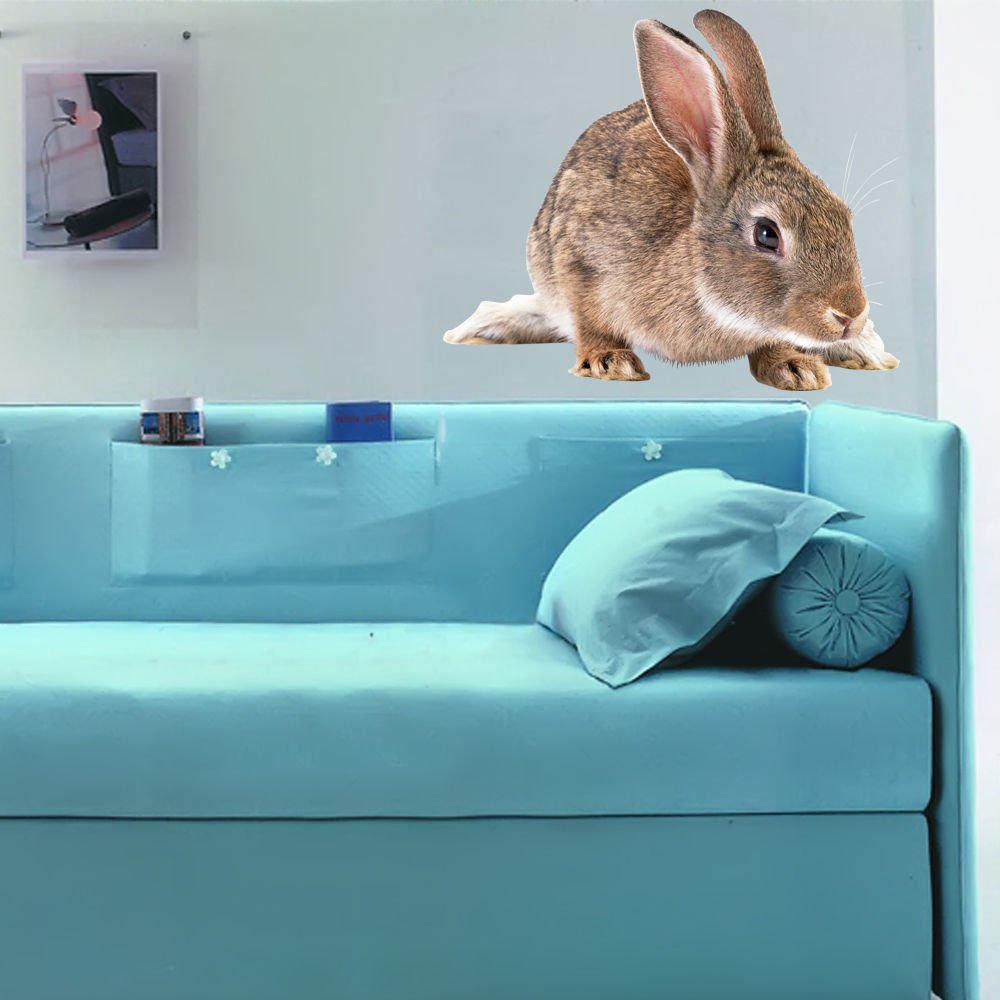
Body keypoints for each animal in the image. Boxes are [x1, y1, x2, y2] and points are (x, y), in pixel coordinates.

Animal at [443, 10, 898, 390]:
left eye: (843, 215)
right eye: (767, 234)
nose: (849, 313)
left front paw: (796, 368)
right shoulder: (579, 262)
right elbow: (589, 321)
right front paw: (610, 362)